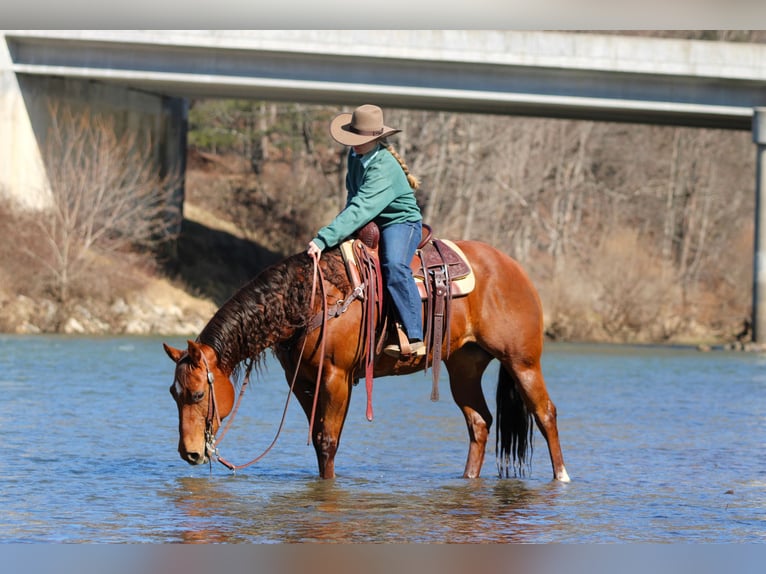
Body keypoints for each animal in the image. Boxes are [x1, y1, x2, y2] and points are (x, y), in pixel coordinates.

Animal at [164, 239, 570, 482]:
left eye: (198, 395)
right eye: (173, 394)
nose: (190, 453)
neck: (309, 298)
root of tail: (513, 267)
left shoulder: (336, 376)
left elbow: (327, 440)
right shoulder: (304, 382)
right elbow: (318, 440)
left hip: (522, 362)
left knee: (545, 413)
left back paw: (561, 477)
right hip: (464, 367)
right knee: (480, 422)